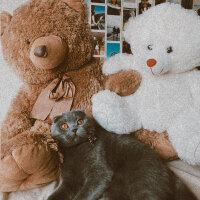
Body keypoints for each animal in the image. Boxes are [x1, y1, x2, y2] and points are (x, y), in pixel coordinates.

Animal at [47, 109, 197, 200]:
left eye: (79, 121)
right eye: (64, 126)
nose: (74, 128)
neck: (76, 151)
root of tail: (169, 172)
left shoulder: (99, 172)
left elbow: (84, 194)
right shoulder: (69, 180)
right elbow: (58, 194)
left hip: (142, 185)